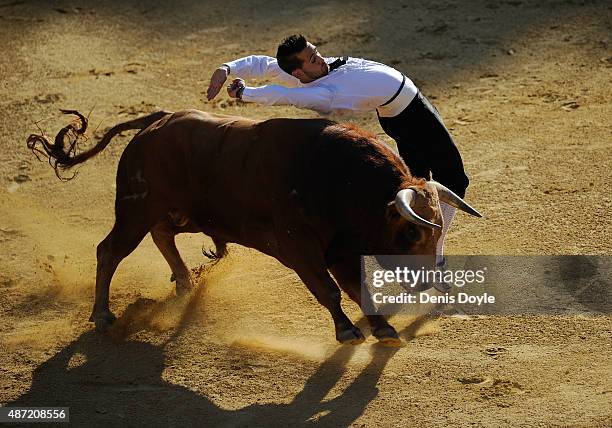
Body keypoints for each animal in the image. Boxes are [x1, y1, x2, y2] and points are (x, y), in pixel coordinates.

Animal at [27, 108, 478, 346]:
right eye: (412, 231)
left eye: (439, 228)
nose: (432, 279)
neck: (342, 182)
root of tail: (156, 124)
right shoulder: (300, 250)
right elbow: (330, 291)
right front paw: (347, 330)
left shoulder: (341, 250)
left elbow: (355, 287)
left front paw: (383, 327)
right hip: (134, 210)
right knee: (109, 250)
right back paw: (103, 315)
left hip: (183, 214)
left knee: (163, 235)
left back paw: (185, 283)